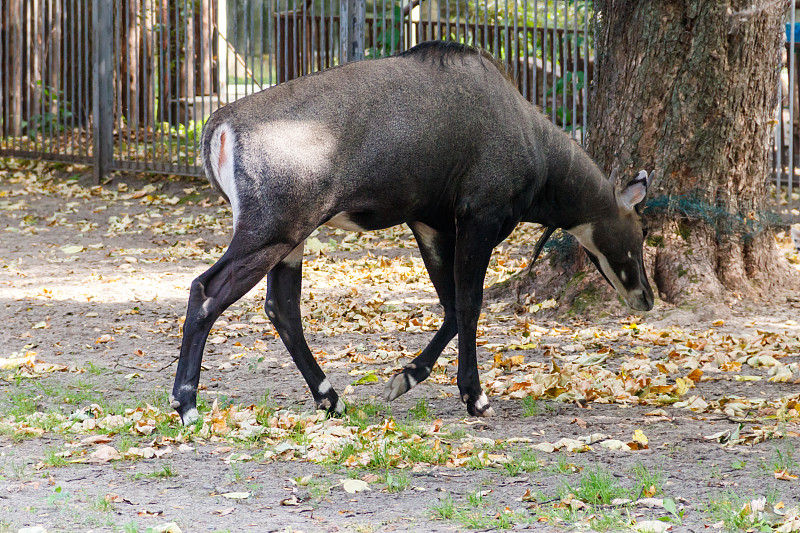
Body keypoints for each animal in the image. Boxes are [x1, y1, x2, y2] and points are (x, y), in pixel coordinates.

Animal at [167, 40, 648, 424]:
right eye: (640, 233)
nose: (646, 297)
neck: (534, 141)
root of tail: (219, 126)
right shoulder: (480, 217)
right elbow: (470, 304)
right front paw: (475, 397)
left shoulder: (428, 222)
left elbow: (451, 307)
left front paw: (405, 378)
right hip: (272, 233)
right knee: (206, 291)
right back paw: (186, 405)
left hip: (291, 240)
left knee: (282, 308)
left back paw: (331, 399)